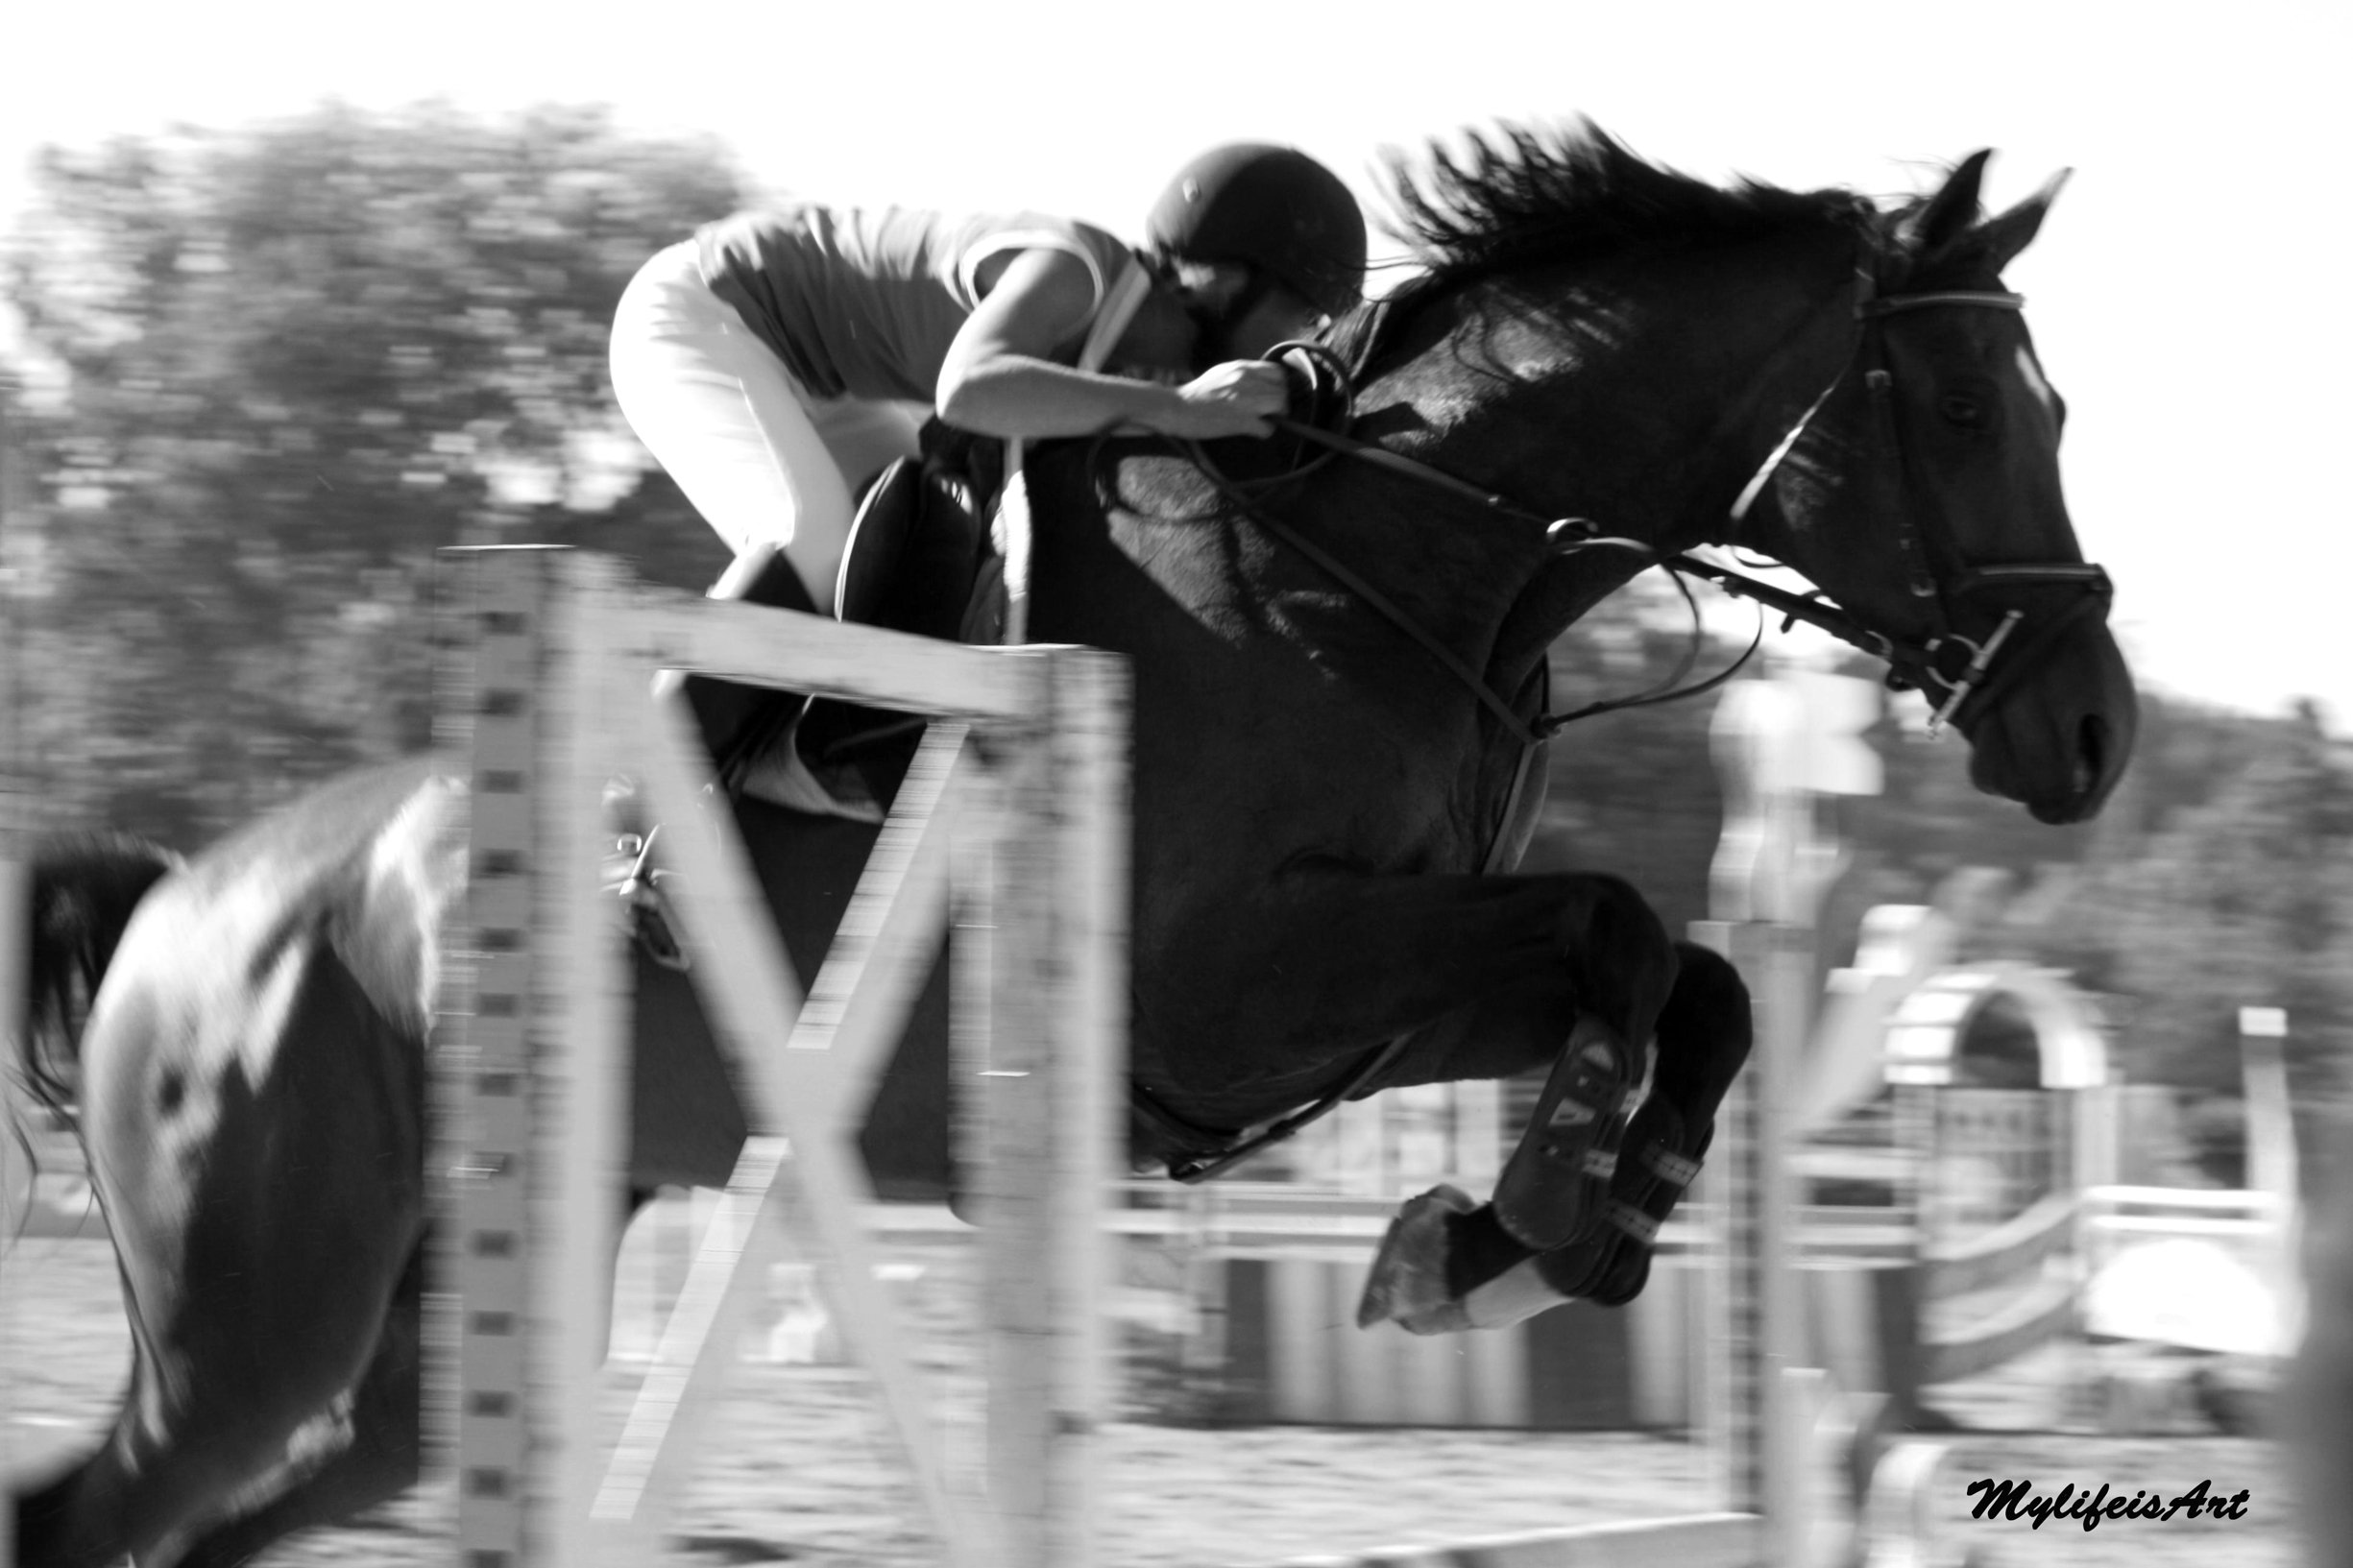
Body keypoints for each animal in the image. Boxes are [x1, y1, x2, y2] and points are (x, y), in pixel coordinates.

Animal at [4, 125, 2136, 1568]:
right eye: (1963, 404)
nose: (2095, 731)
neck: (1394, 552)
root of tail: (193, 900)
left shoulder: (1363, 996)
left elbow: (1694, 981)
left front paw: (1530, 1239)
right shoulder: (1231, 987)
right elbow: (1622, 931)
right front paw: (1511, 1228)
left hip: (464, 1275)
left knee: (281, 1480)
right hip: (262, 1286)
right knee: (118, 1491)